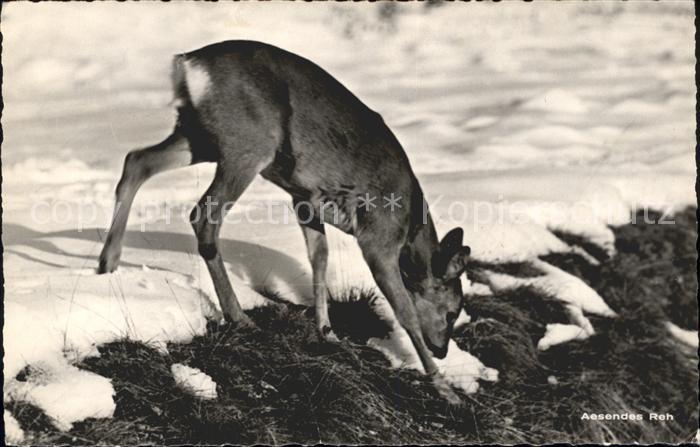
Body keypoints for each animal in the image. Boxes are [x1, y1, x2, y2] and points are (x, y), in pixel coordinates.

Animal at [98, 40, 471, 404]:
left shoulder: (306, 201)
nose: (442, 350)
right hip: (247, 144)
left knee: (137, 160)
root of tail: (188, 63)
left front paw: (326, 331)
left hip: (198, 136)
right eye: (453, 312)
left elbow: (319, 259)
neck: (409, 228)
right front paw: (444, 388)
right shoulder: (377, 237)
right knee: (202, 216)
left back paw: (107, 263)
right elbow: (405, 311)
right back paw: (238, 316)